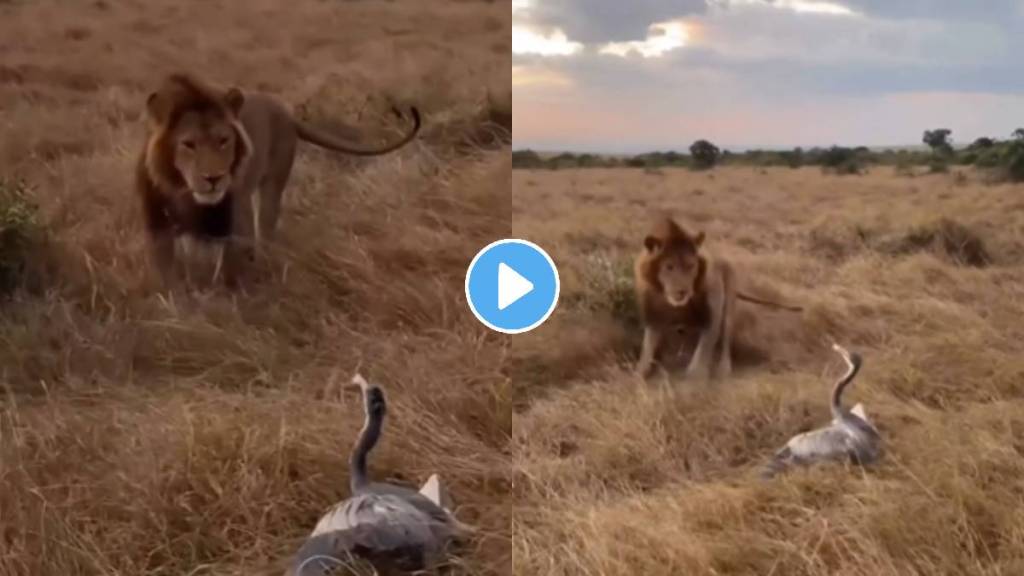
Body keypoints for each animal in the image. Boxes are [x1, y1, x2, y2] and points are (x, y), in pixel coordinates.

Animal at [136, 72, 421, 288]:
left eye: (223, 140)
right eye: (188, 144)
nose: (213, 178)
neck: (186, 192)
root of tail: (286, 111)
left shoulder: (236, 220)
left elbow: (229, 267)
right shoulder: (157, 223)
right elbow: (167, 277)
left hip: (273, 183)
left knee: (265, 228)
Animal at [633, 216, 802, 381]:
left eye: (691, 266)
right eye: (669, 266)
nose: (682, 291)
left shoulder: (712, 313)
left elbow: (702, 352)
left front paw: (695, 379)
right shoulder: (654, 316)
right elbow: (647, 350)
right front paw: (640, 373)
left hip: (729, 302)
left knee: (726, 339)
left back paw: (723, 369)